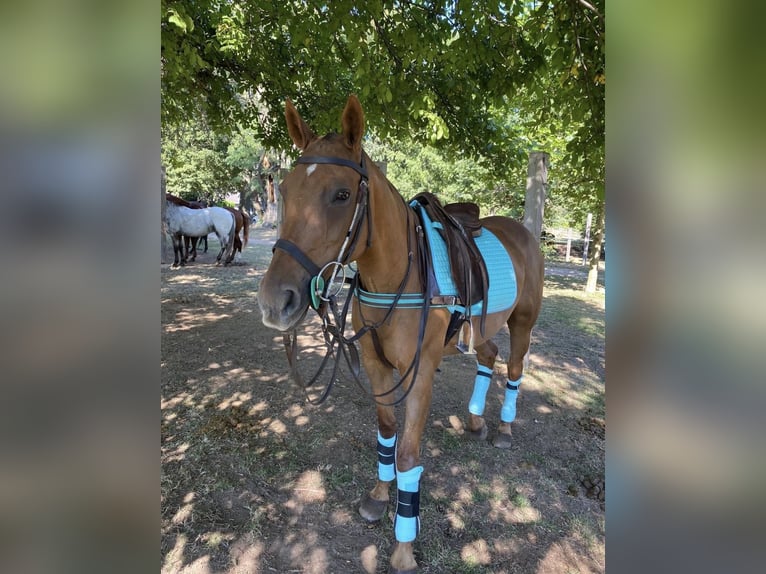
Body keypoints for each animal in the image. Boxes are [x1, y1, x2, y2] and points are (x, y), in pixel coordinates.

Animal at [257, 95, 544, 573]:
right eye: (287, 189)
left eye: (342, 194)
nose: (274, 301)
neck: (395, 276)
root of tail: (522, 231)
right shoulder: (376, 365)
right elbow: (386, 431)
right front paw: (378, 497)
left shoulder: (421, 371)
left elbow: (408, 452)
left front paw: (404, 544)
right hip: (481, 326)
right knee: (488, 355)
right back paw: (474, 420)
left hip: (523, 321)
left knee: (516, 367)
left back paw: (503, 428)